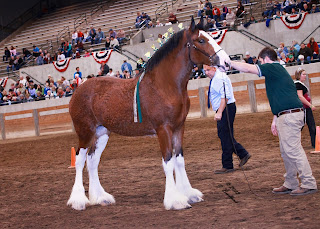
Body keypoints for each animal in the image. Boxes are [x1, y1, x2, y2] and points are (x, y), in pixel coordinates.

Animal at [67, 17, 230, 211]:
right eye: (202, 40)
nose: (227, 62)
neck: (164, 85)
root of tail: (78, 89)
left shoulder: (179, 127)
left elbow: (179, 160)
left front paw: (189, 194)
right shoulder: (163, 129)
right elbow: (168, 162)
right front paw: (175, 200)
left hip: (102, 133)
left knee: (92, 161)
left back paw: (100, 197)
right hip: (85, 132)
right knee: (79, 160)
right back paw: (78, 201)